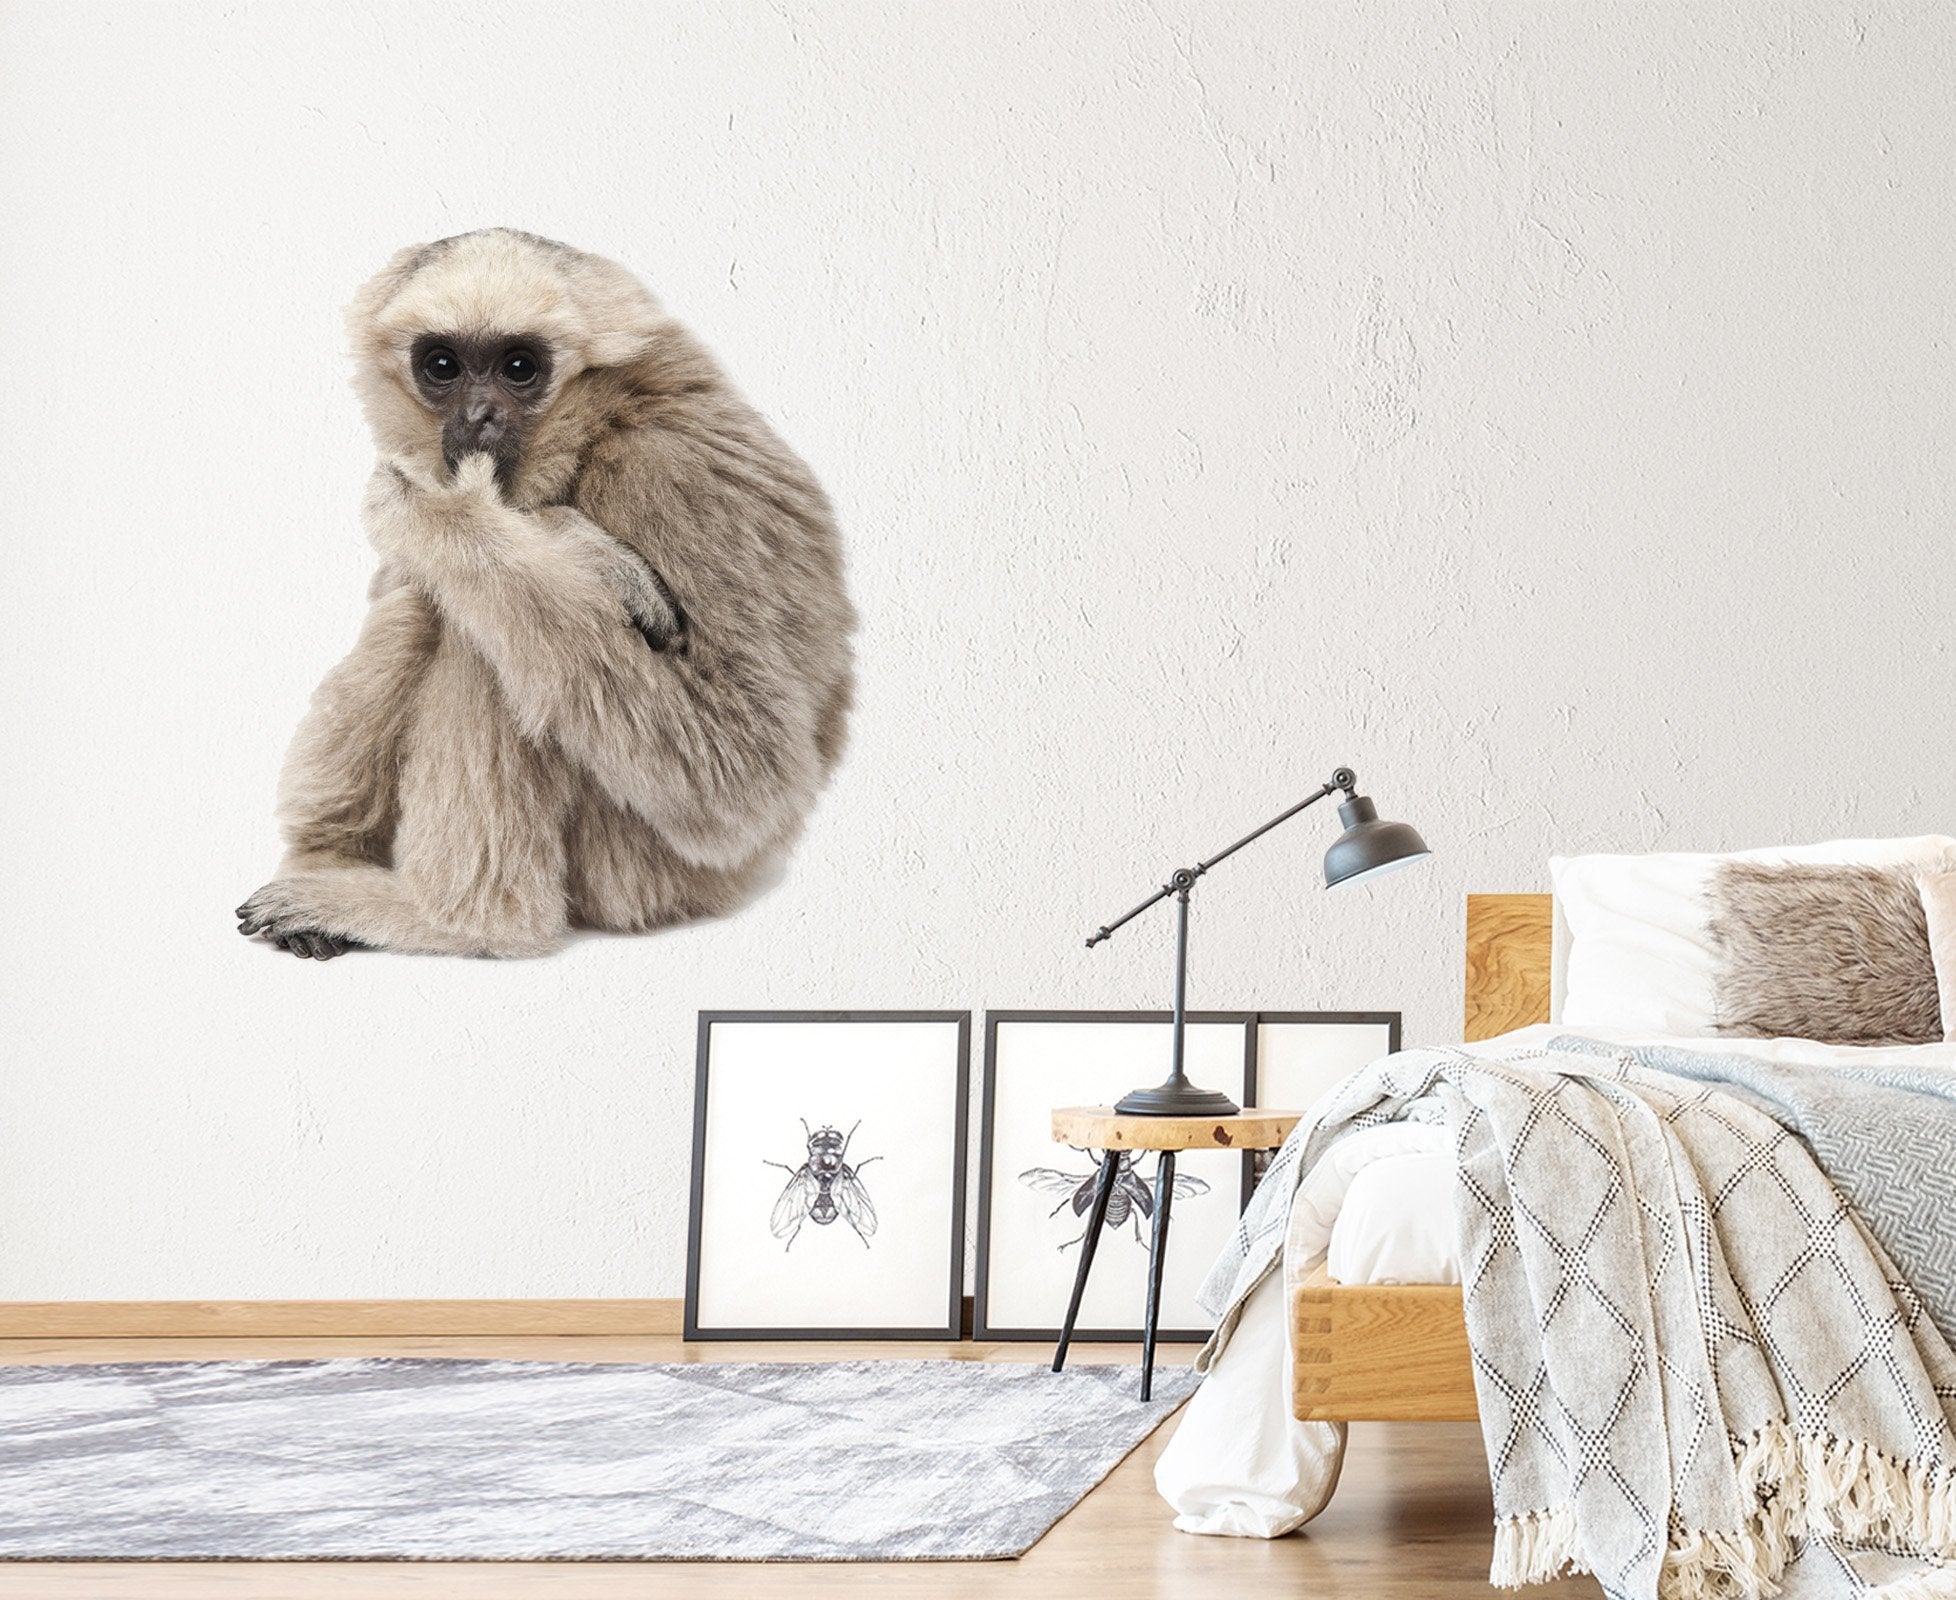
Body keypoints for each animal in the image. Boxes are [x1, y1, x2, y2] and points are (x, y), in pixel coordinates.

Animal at [236, 229, 855, 959]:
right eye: (442, 365)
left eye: (519, 367)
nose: (478, 414)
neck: (601, 426)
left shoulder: (675, 477)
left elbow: (744, 779)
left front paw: (476, 515)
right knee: (420, 602)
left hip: (648, 874)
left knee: (483, 631)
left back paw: (460, 920)